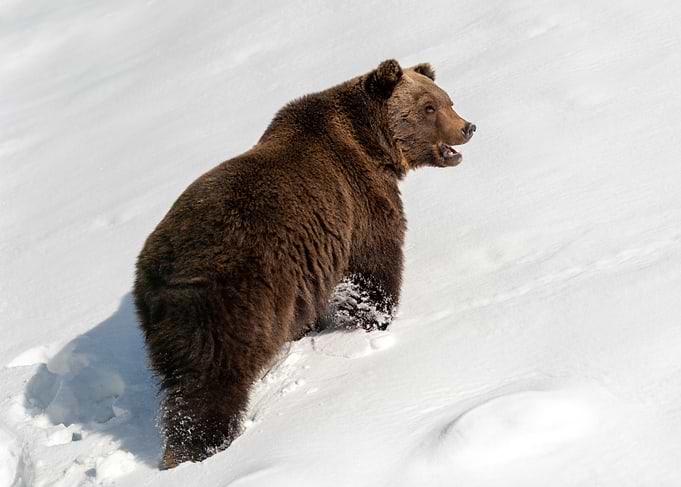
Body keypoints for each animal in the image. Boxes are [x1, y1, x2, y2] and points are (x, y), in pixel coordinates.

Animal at [133, 59, 475, 469]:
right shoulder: (358, 203)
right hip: (227, 298)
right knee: (210, 381)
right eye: (429, 107)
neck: (370, 143)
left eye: (447, 100)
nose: (467, 127)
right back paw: (205, 448)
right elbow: (371, 269)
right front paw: (376, 320)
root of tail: (159, 272)